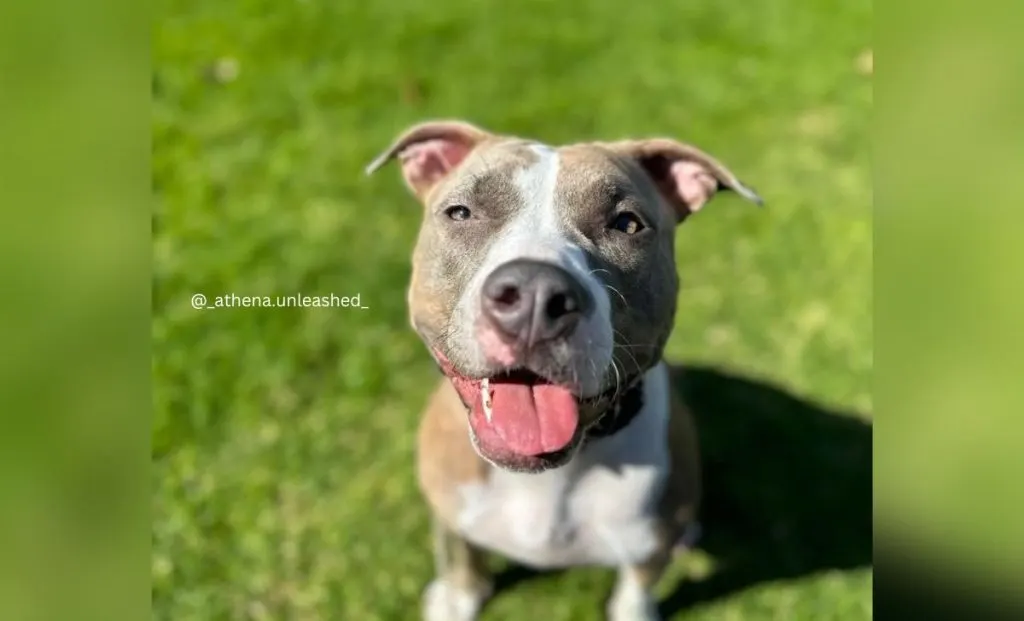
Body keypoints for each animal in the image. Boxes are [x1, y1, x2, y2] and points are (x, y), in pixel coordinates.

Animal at [366, 121, 761, 621]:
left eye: (627, 224)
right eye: (460, 212)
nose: (535, 295)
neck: (547, 478)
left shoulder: (647, 548)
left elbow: (636, 590)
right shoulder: (448, 508)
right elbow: (461, 551)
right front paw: (457, 597)